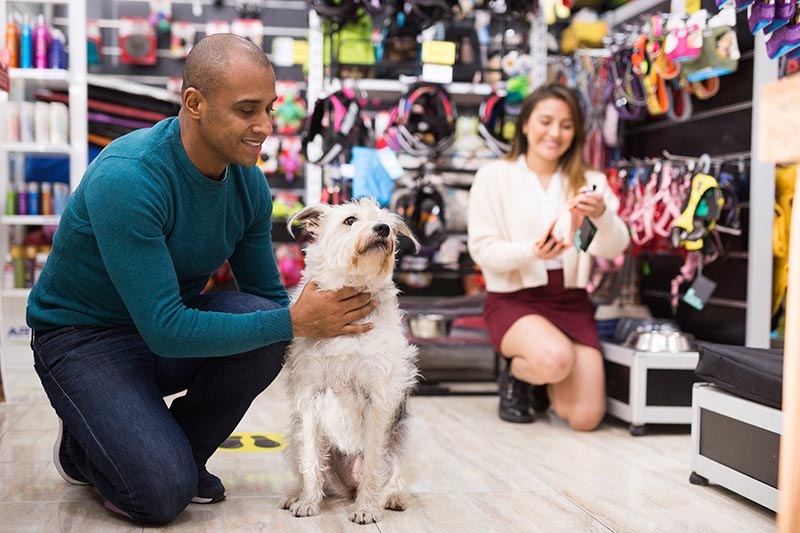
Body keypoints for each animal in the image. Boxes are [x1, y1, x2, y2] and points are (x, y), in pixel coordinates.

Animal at [282, 197, 418, 520]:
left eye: (388, 224)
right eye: (350, 220)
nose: (382, 229)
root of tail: (348, 487)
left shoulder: (377, 398)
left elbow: (372, 463)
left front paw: (367, 509)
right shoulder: (309, 396)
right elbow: (311, 461)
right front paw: (308, 502)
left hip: (408, 434)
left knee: (394, 475)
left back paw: (391, 497)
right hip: (294, 432)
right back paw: (297, 495)